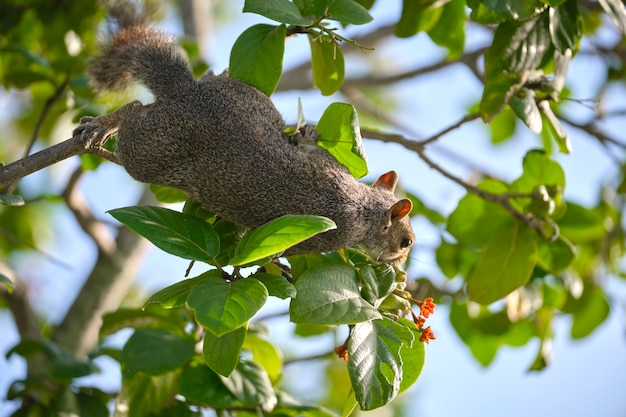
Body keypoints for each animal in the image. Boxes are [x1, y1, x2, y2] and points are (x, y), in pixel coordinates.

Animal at [74, 25, 414, 264]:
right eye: (405, 242)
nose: (398, 265)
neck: (363, 206)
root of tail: (188, 92)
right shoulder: (327, 235)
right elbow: (280, 253)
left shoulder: (331, 165)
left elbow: (312, 151)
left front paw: (308, 136)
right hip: (151, 150)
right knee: (133, 110)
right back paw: (107, 123)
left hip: (251, 99)